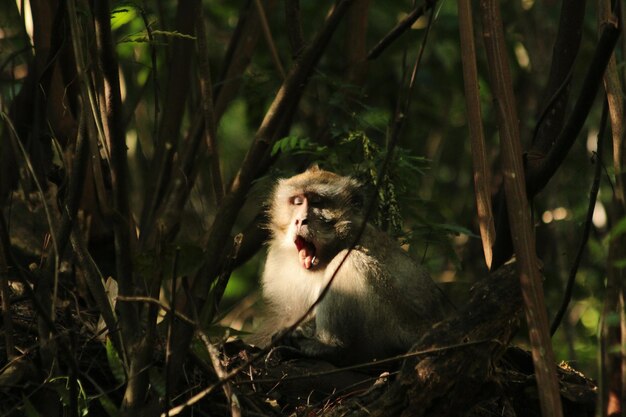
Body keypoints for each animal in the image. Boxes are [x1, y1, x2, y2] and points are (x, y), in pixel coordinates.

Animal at [258, 166, 448, 364]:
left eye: (317, 202)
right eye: (297, 202)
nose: (300, 220)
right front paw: (288, 334)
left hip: (396, 329)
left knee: (347, 260)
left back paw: (330, 347)